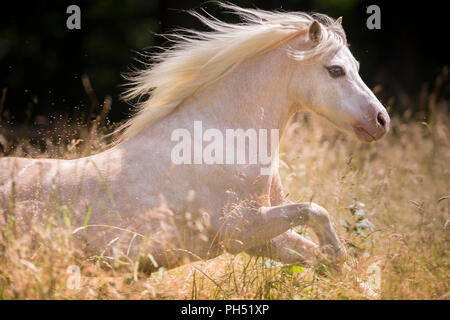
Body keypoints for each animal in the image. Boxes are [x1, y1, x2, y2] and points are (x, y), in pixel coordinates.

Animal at [0, 4, 388, 272]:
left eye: (355, 66)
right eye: (335, 70)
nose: (381, 120)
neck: (224, 140)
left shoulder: (262, 240)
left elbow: (329, 261)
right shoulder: (241, 229)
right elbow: (316, 213)